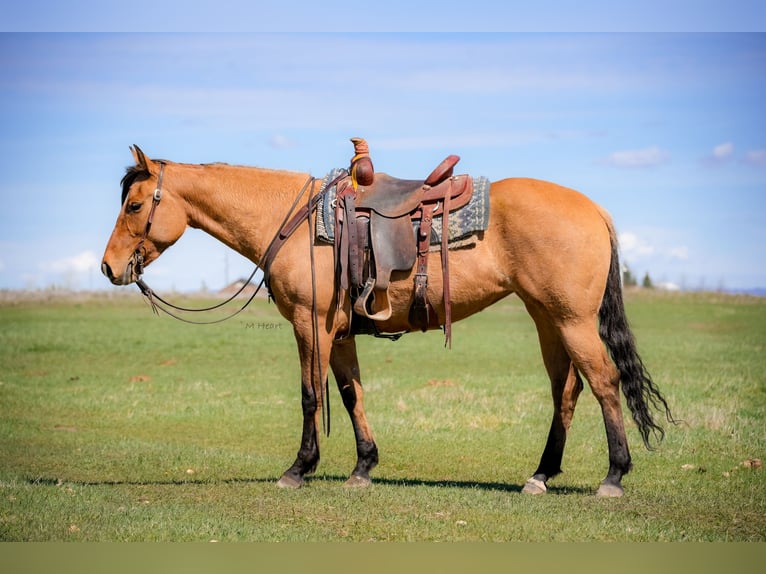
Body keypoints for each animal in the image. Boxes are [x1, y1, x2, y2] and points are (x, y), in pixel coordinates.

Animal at [101, 144, 674, 497]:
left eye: (134, 205)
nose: (108, 267)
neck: (295, 222)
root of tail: (595, 209)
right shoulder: (339, 333)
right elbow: (350, 393)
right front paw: (363, 466)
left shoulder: (309, 324)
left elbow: (310, 395)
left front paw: (299, 468)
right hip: (547, 318)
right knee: (567, 390)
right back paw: (541, 474)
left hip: (572, 319)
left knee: (604, 381)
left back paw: (614, 476)